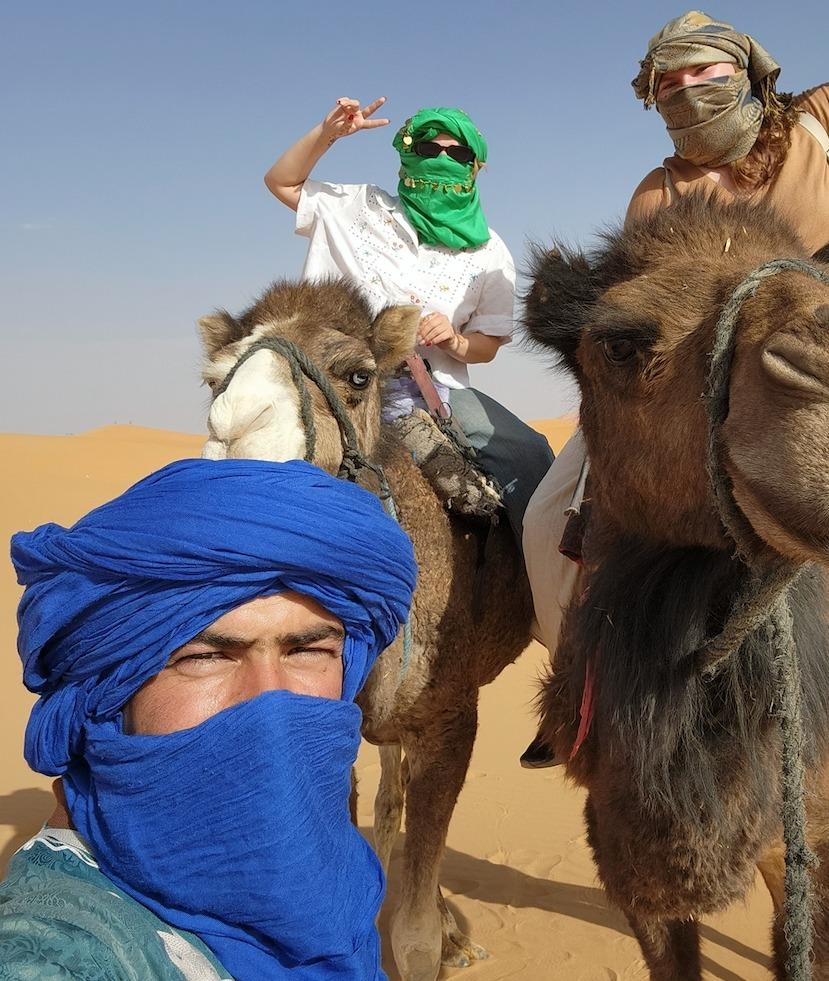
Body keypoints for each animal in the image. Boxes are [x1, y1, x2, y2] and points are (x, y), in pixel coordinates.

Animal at [196, 280, 532, 980]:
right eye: (212, 381)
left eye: (358, 375)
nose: (234, 432)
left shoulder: (450, 719)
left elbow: (412, 935)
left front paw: (434, 939)